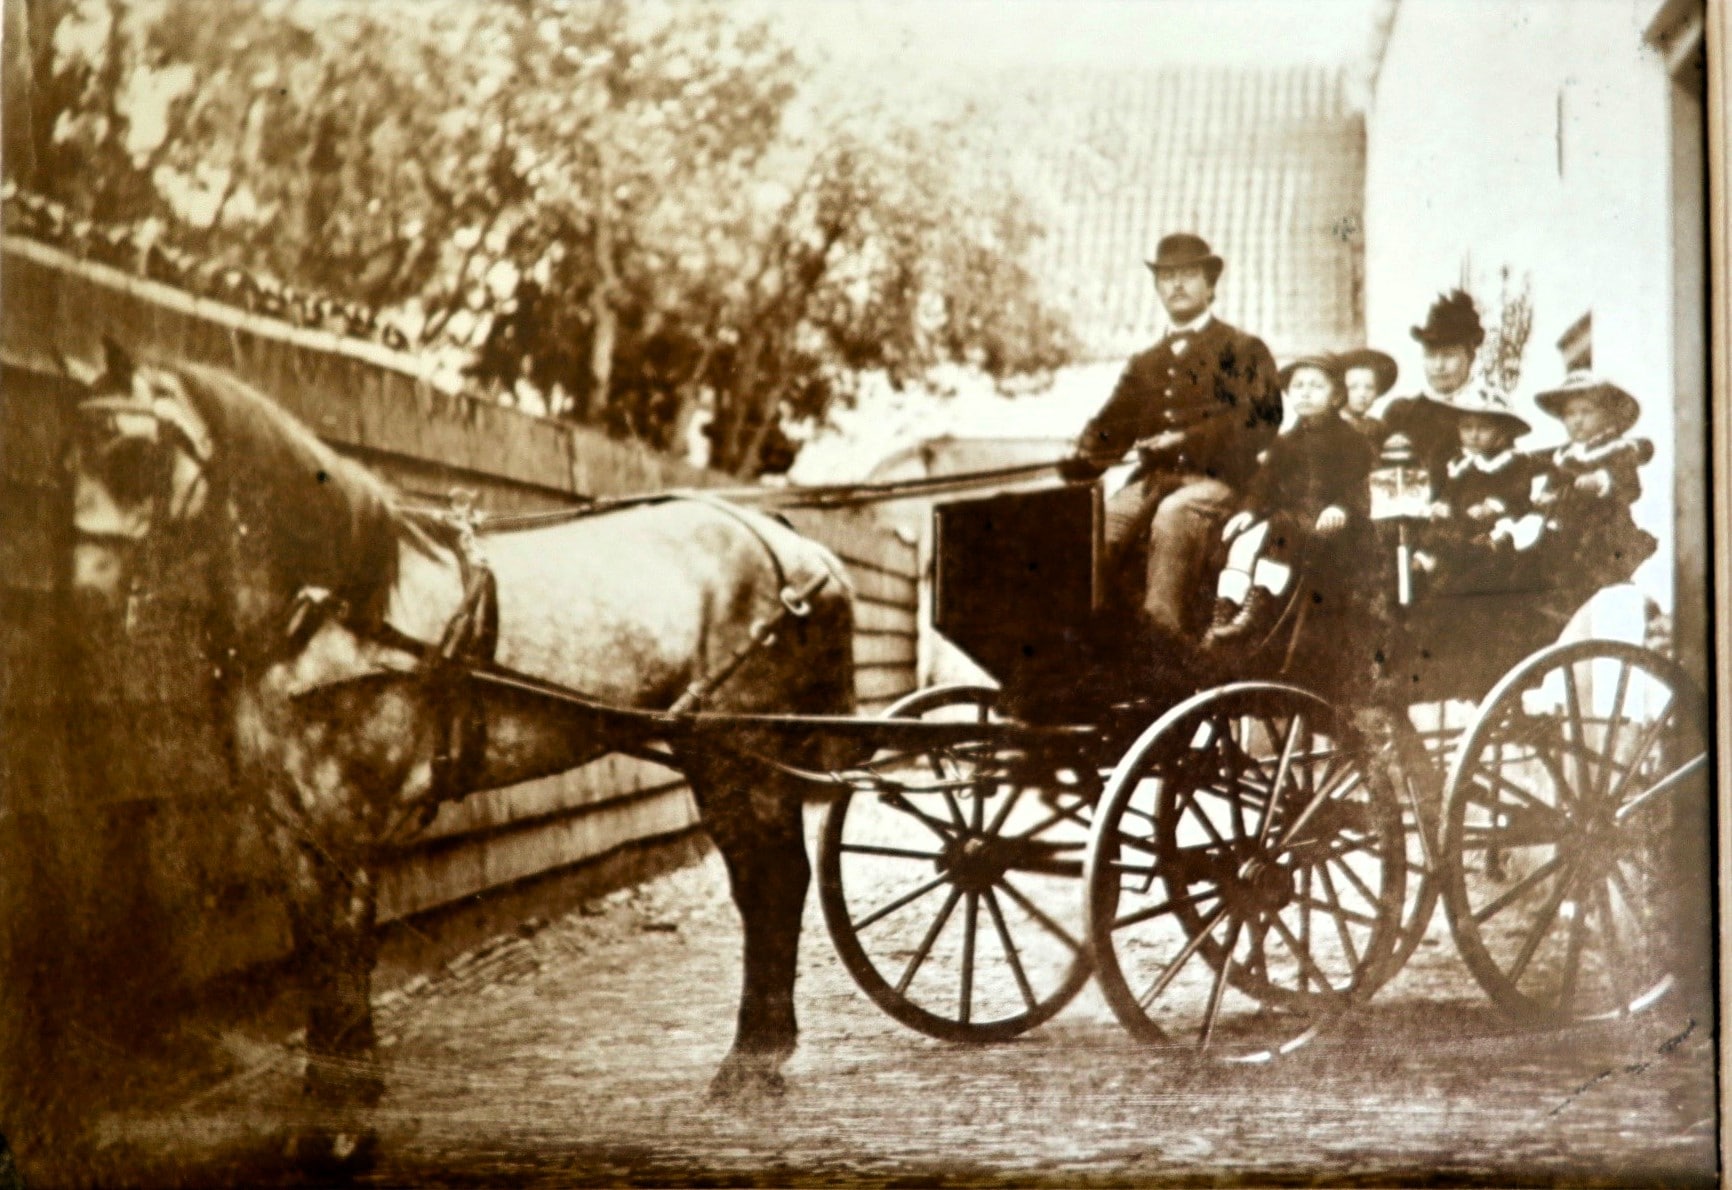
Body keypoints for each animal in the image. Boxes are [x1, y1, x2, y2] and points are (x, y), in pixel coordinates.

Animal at [65, 339, 859, 1170]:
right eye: (66, 453)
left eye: (133, 453)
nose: (84, 598)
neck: (336, 606)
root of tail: (795, 548)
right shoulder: (292, 823)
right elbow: (317, 950)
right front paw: (325, 1109)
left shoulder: (347, 819)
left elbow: (347, 952)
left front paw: (346, 1118)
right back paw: (765, 1052)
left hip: (734, 756)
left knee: (771, 885)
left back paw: (751, 1064)